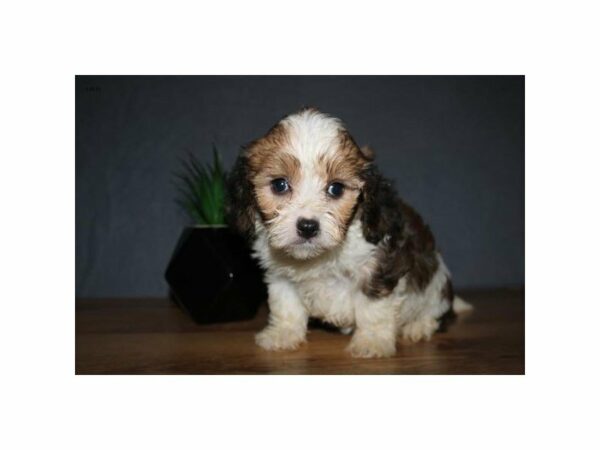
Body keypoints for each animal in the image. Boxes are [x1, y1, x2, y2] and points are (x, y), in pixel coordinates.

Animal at [227, 107, 472, 356]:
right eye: (279, 185)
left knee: (436, 313)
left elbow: (373, 308)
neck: (319, 258)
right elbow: (285, 304)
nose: (307, 226)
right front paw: (283, 334)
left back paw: (419, 326)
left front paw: (372, 342)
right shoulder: (280, 275)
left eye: (336, 188)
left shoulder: (378, 266)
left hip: (436, 287)